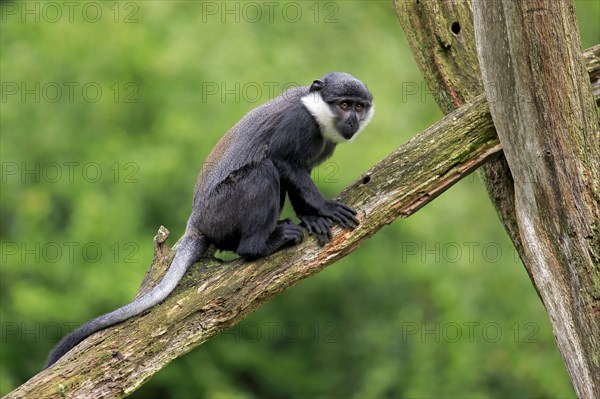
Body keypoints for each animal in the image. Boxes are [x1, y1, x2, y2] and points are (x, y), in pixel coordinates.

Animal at [47, 71, 372, 368]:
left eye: (358, 107)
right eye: (344, 104)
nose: (352, 121)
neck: (317, 113)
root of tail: (196, 224)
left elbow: (297, 173)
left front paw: (311, 216)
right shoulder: (298, 124)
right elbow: (283, 161)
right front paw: (324, 208)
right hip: (222, 212)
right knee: (264, 171)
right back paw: (260, 245)